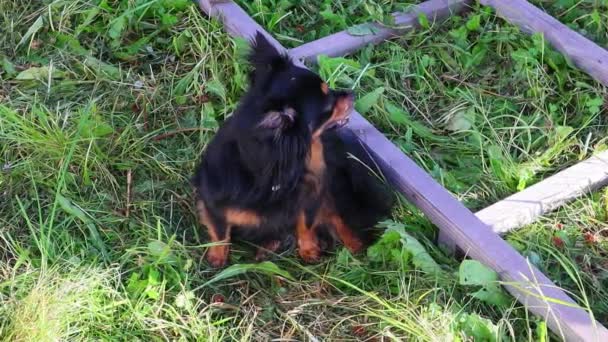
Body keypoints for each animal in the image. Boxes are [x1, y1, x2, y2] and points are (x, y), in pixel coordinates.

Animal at [194, 32, 394, 268]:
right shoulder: (213, 202)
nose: (351, 94)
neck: (286, 166)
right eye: (328, 107)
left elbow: (305, 224)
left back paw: (353, 244)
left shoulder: (311, 196)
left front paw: (309, 250)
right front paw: (217, 258)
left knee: (336, 215)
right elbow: (220, 232)